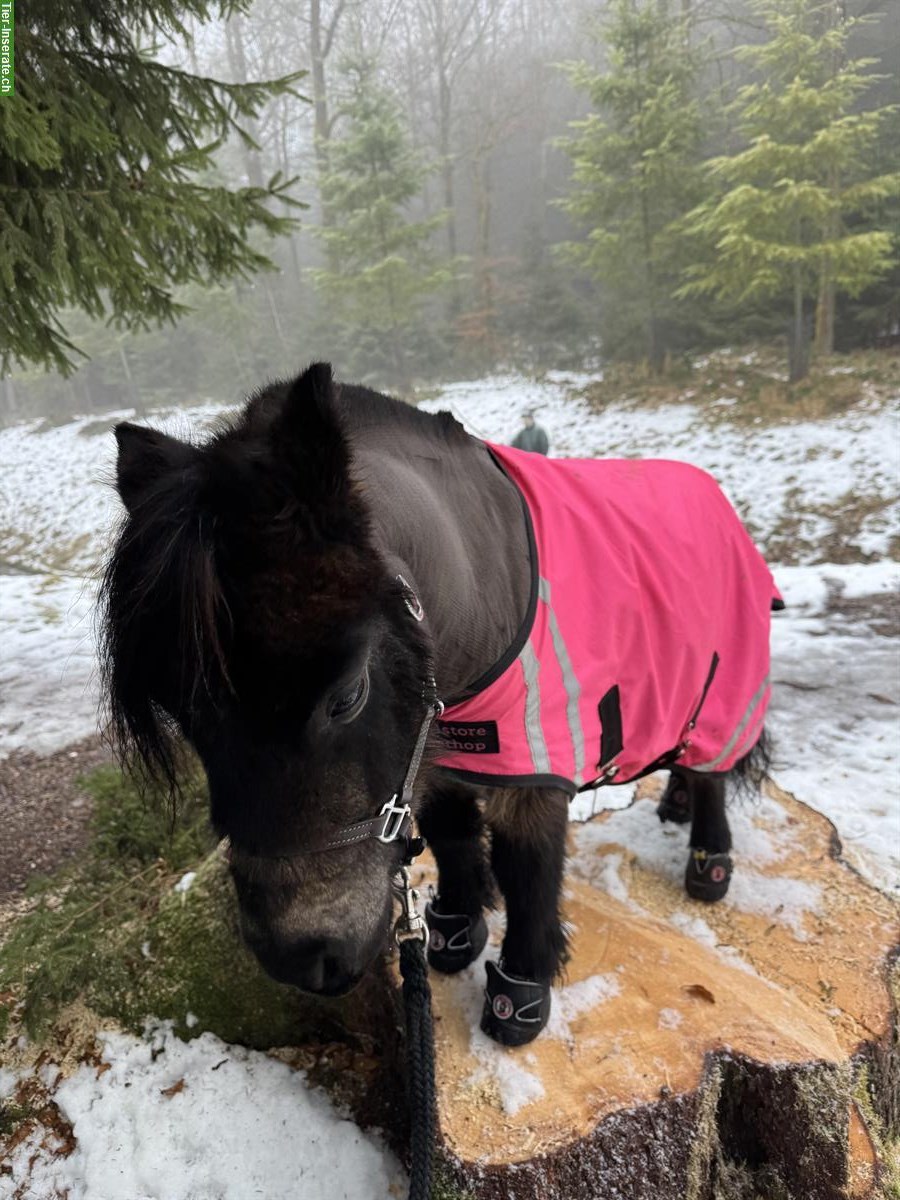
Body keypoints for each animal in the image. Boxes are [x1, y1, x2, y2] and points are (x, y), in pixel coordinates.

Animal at [102, 360, 772, 1046]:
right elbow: (452, 834)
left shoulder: (534, 761)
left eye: (348, 694)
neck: (483, 585)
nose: (302, 961)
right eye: (184, 719)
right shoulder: (436, 750)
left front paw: (519, 997)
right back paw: (675, 802)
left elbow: (528, 868)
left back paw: (708, 862)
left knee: (715, 768)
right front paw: (454, 932)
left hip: (727, 684)